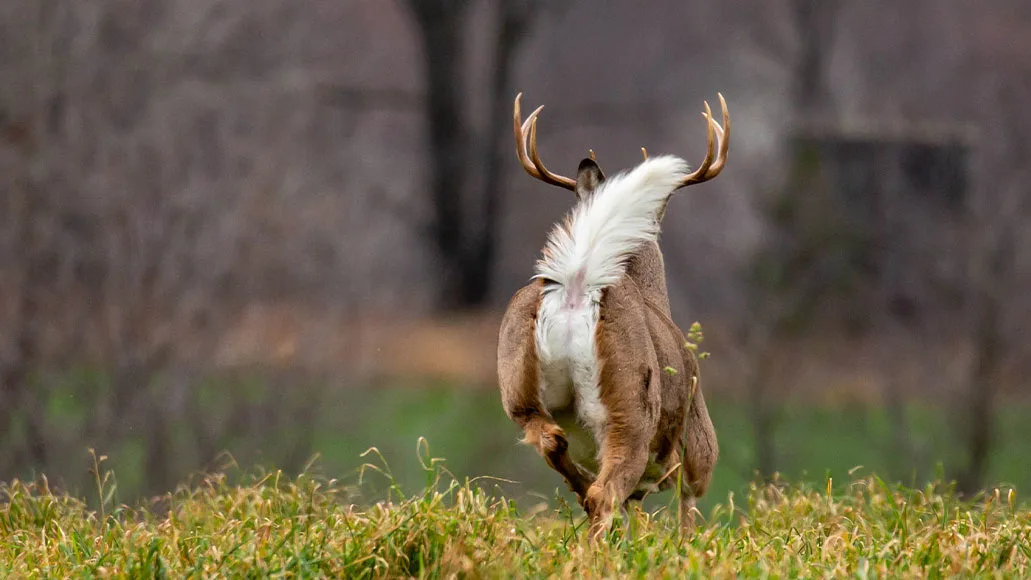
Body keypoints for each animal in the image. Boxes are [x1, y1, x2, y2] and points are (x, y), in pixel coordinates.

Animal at [497, 92, 728, 541]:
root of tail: (578, 283)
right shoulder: (698, 448)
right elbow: (687, 513)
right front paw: (687, 548)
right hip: (631, 405)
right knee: (606, 493)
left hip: (517, 383)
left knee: (556, 445)